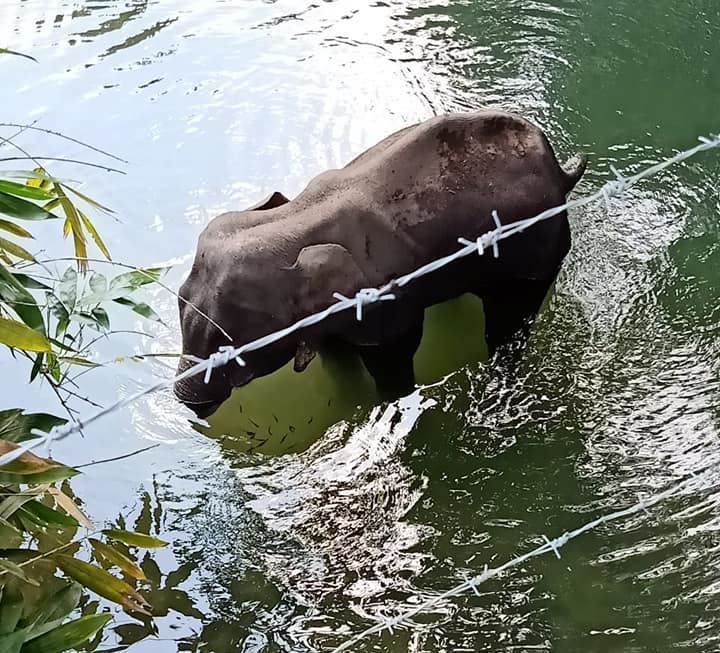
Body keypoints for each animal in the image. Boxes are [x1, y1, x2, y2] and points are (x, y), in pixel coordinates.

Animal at [175, 109, 587, 416]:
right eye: (179, 299)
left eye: (230, 345)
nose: (188, 402)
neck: (296, 220)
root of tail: (561, 172)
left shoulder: (384, 302)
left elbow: (395, 354)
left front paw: (388, 403)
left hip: (537, 248)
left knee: (509, 320)